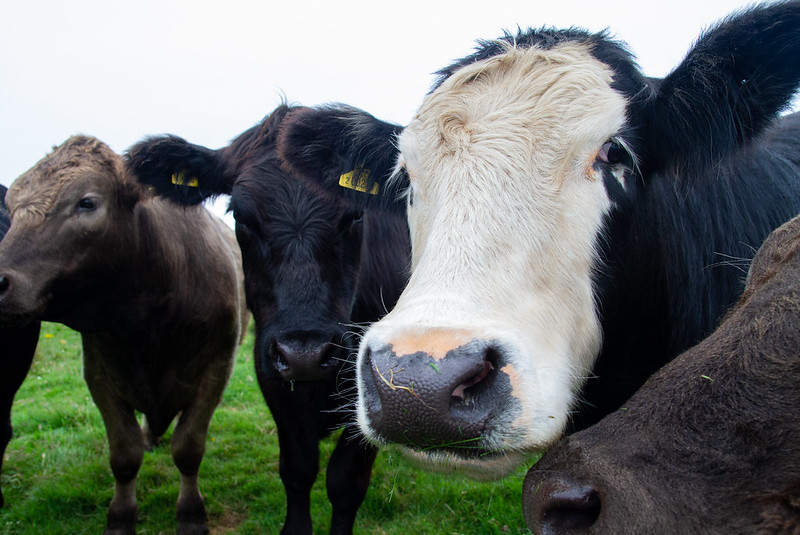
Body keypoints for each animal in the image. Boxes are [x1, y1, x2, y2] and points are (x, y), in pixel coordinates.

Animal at [0, 136, 247, 535]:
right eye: (11, 207)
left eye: (87, 202)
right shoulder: (100, 374)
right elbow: (124, 454)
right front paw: (120, 517)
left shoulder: (217, 368)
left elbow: (188, 448)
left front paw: (191, 514)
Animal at [125, 104, 410, 535]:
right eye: (240, 215)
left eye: (355, 216)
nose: (306, 354)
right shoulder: (270, 372)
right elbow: (297, 470)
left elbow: (345, 482)